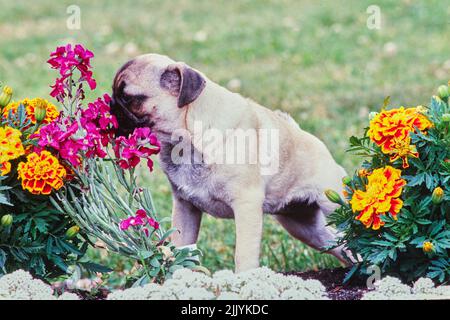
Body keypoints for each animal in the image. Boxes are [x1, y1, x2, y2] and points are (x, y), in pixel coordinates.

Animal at [111, 53, 348, 272]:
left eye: (128, 98)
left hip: (332, 203)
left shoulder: (246, 206)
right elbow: (181, 249)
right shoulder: (185, 207)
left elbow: (243, 256)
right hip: (303, 225)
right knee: (339, 244)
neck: (185, 143)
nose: (111, 104)